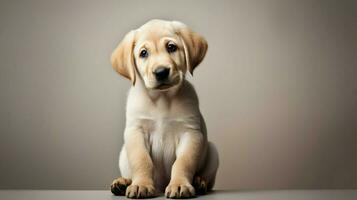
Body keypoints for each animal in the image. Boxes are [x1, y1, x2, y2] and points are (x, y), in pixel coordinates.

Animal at [110, 19, 218, 198]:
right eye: (144, 53)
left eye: (171, 47)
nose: (161, 72)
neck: (162, 99)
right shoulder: (136, 132)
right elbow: (142, 161)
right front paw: (141, 185)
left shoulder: (190, 133)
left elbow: (182, 163)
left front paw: (179, 184)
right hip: (122, 155)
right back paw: (123, 182)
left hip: (213, 151)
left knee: (209, 180)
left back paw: (200, 182)